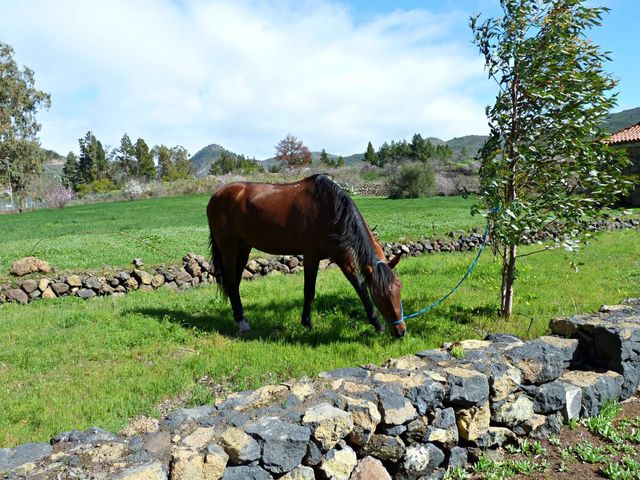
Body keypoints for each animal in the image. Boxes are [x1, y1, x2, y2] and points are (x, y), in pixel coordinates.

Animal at [205, 173, 404, 338]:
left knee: (235, 283)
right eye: (380, 294)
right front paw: (307, 323)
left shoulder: (341, 255)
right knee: (231, 282)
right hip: (228, 248)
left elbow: (360, 286)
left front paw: (377, 324)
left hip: (243, 248)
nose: (401, 331)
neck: (331, 208)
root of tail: (216, 195)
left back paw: (240, 318)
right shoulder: (311, 256)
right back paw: (242, 323)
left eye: (399, 288)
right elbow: (309, 290)